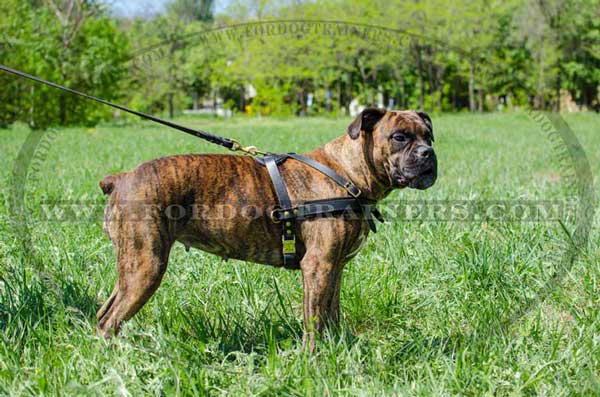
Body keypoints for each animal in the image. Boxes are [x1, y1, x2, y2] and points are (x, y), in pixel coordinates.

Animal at [96, 106, 438, 348]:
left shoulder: (335, 267)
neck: (346, 173)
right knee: (110, 320)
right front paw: (312, 360)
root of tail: (121, 178)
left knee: (104, 312)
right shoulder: (318, 266)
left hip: (131, 267)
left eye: (429, 136)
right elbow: (314, 319)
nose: (428, 153)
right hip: (147, 265)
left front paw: (336, 349)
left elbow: (331, 313)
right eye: (399, 137)